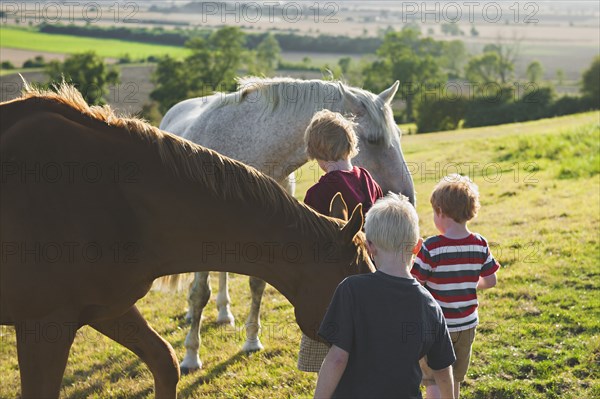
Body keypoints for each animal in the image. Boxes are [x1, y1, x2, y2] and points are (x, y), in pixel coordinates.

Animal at [158, 77, 418, 372]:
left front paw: (252, 341)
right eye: (374, 140)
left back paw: (224, 313)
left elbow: (257, 285)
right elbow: (200, 292)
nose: (406, 197)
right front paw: (191, 356)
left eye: (399, 134)